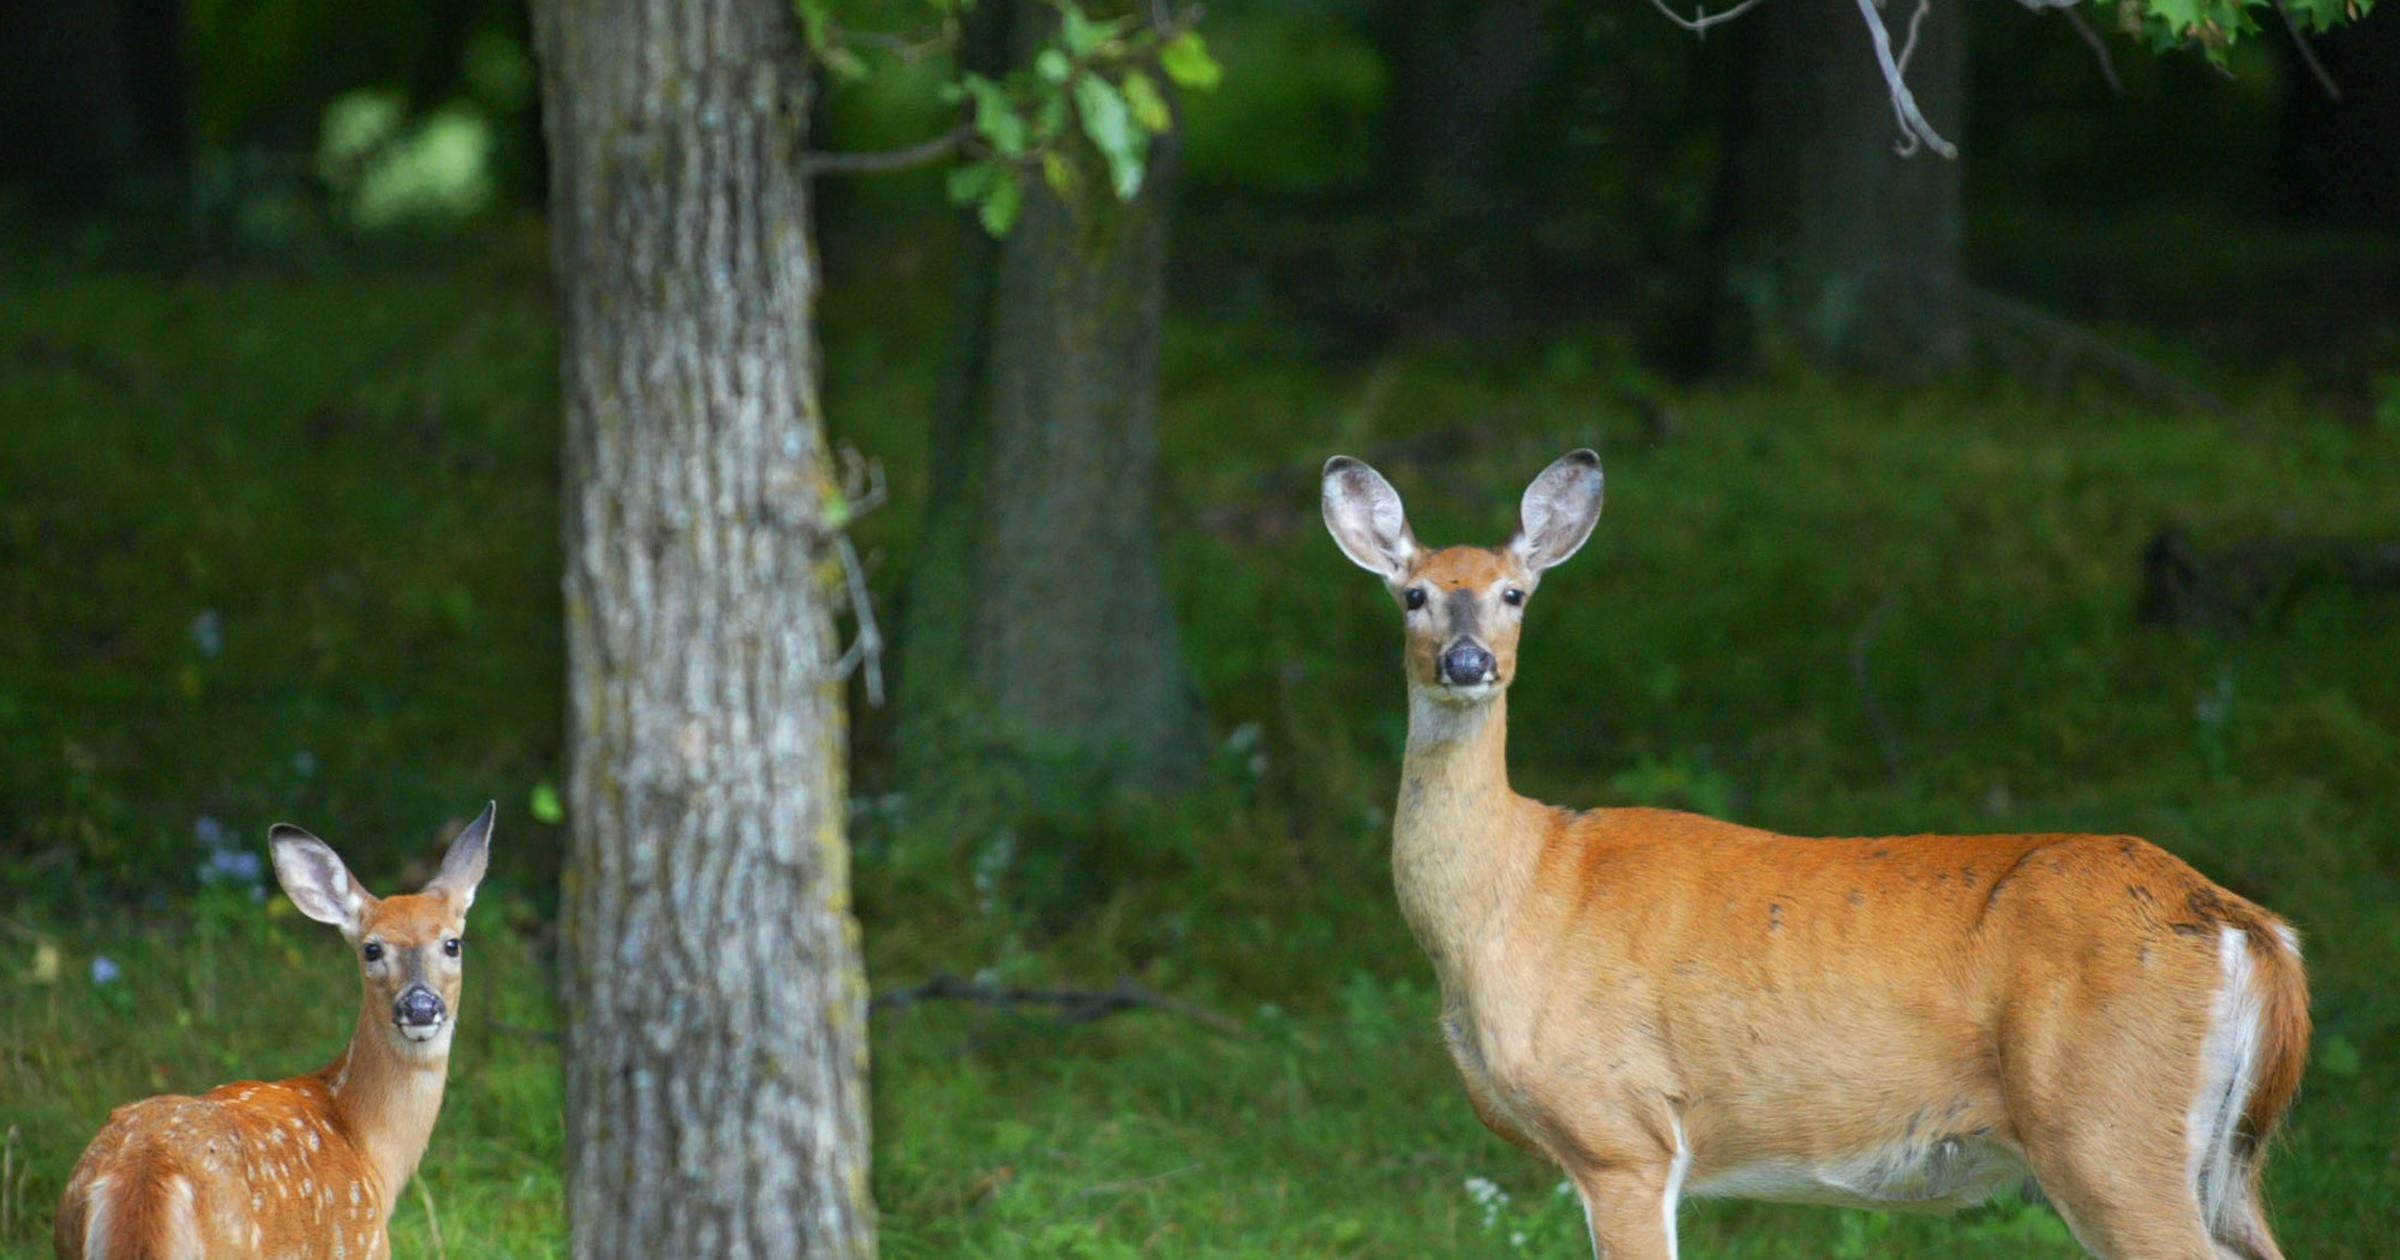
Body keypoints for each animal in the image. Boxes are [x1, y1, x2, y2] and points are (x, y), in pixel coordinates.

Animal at [55, 806, 492, 1257]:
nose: (420, 1006)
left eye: (452, 944)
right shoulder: (361, 1242)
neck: (366, 1148)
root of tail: (144, 1171)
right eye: (372, 949)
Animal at [1324, 453, 2313, 1257]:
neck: (1515, 895)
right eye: (1413, 594)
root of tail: (2253, 931)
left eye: (1514, 593)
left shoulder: (1622, 1131)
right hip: (2219, 1163)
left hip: (2107, 1127)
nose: (1466, 661)